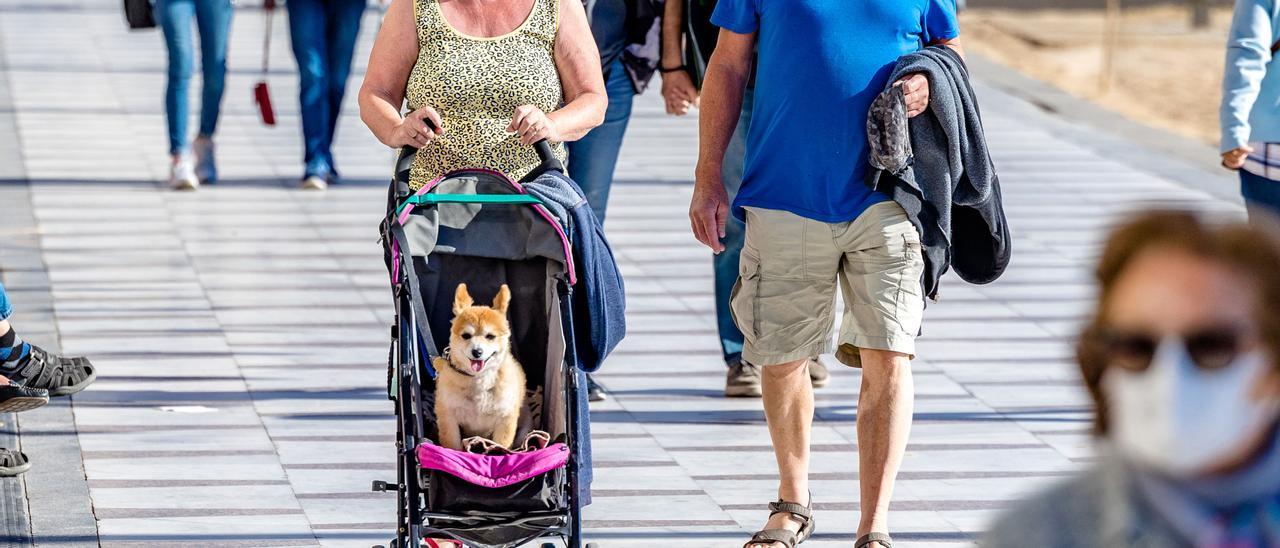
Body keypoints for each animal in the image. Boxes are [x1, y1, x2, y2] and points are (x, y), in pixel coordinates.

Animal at [432, 282, 527, 450]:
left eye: (490, 336)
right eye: (466, 336)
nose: (477, 351)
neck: (479, 379)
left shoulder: (505, 418)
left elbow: (500, 446)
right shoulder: (448, 417)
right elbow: (453, 445)